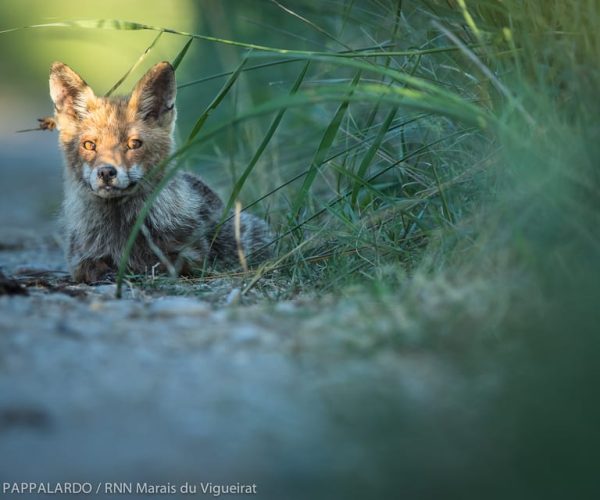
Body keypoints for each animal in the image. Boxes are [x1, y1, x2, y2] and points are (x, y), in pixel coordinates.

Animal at [50, 60, 274, 284]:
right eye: (89, 145)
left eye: (134, 144)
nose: (106, 172)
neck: (121, 229)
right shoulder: (79, 257)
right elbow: (90, 267)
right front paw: (109, 272)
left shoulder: (192, 254)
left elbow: (164, 265)